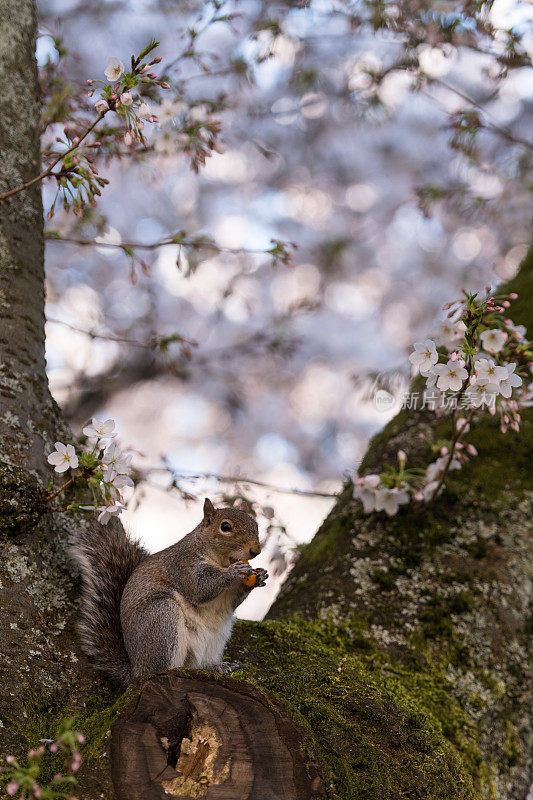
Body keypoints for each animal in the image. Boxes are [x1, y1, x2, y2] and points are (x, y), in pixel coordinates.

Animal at [70, 496, 268, 684]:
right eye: (225, 526)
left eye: (256, 526)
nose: (256, 550)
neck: (220, 561)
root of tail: (135, 671)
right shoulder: (183, 566)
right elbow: (200, 588)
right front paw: (233, 573)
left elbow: (230, 601)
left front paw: (259, 576)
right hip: (162, 618)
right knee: (159, 668)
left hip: (216, 636)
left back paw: (215, 667)